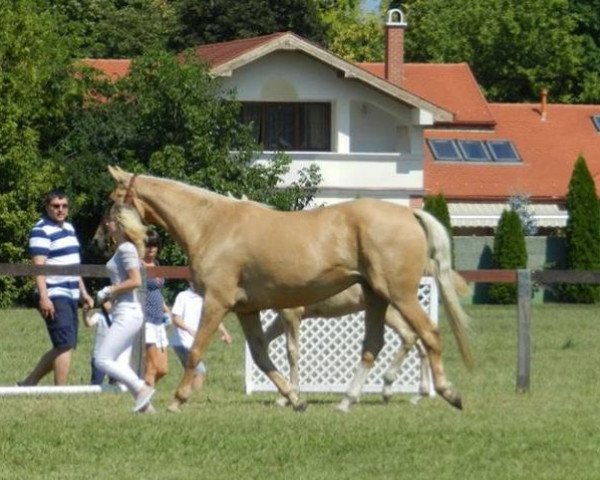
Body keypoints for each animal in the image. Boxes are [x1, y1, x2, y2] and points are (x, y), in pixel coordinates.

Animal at [108, 166, 474, 412]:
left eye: (113, 200)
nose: (104, 237)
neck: (213, 225)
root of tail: (410, 215)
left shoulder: (219, 302)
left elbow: (198, 349)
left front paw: (177, 400)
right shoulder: (248, 310)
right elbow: (261, 356)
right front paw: (294, 399)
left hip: (399, 296)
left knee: (428, 335)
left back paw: (447, 392)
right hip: (377, 299)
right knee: (376, 345)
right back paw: (348, 400)